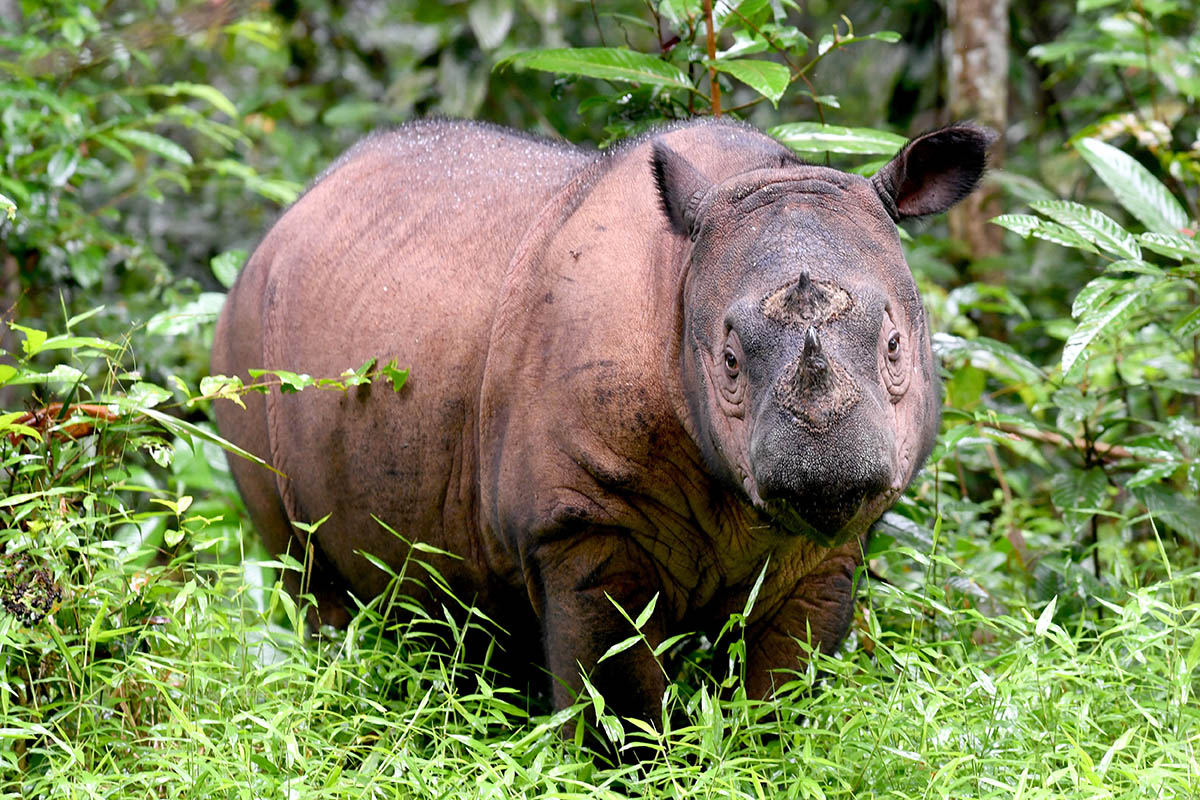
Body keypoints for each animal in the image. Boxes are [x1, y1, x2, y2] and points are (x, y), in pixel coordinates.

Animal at [208, 117, 993, 719]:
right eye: (728, 361)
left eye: (895, 347)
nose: (828, 472)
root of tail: (286, 217)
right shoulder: (581, 524)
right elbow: (618, 700)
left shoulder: (825, 550)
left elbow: (782, 691)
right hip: (241, 344)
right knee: (306, 573)